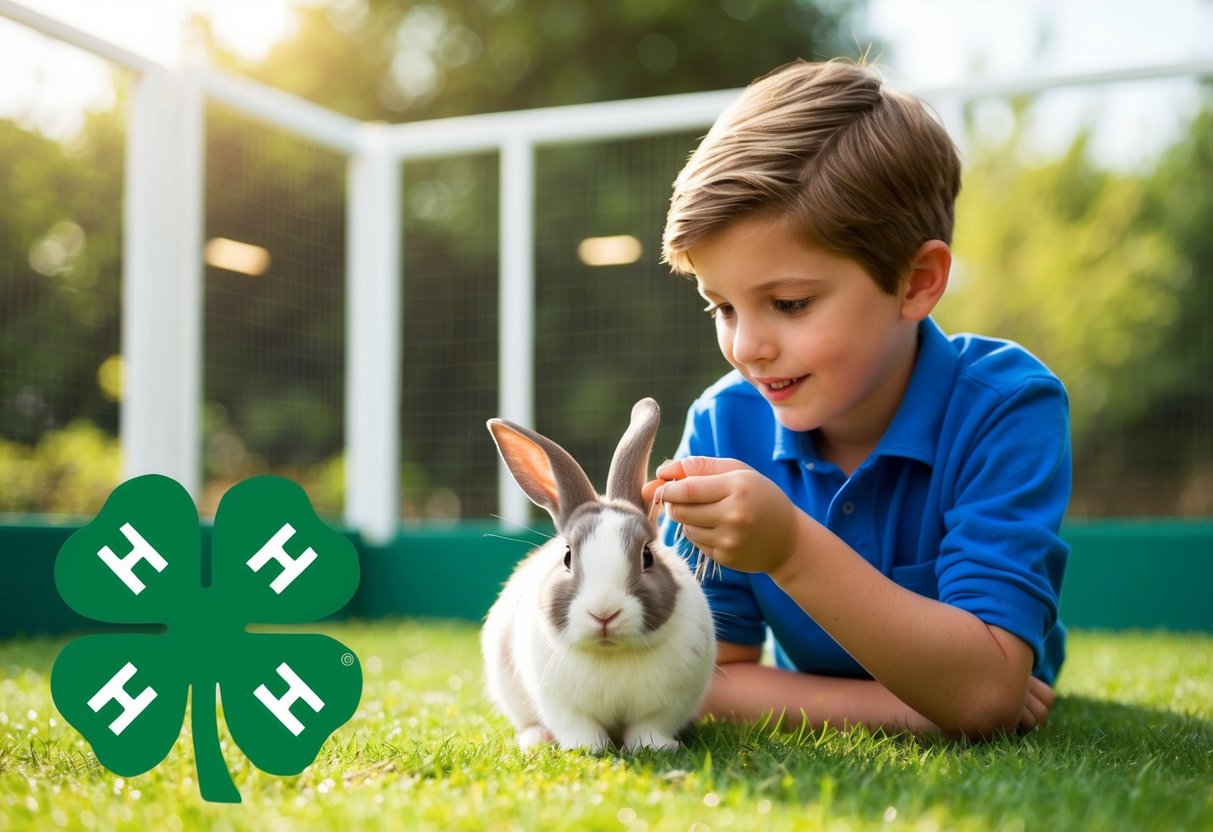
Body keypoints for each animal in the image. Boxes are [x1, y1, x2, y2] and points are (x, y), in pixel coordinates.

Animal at [480, 400, 713, 756]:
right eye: (567, 557)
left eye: (647, 556)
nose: (604, 613)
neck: (610, 653)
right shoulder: (562, 705)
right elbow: (580, 728)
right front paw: (586, 748)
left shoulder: (664, 707)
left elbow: (647, 728)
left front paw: (656, 749)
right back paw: (536, 739)